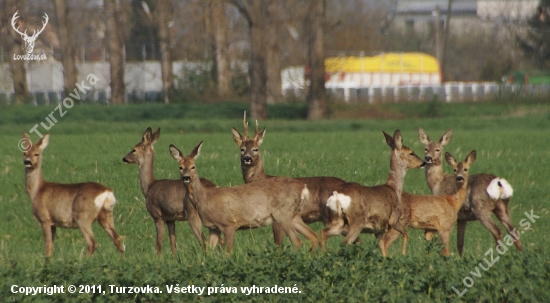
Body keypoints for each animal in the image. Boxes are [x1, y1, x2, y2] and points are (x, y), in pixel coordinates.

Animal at [123, 127, 218, 255]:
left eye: (134, 149)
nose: (124, 158)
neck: (149, 186)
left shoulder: (157, 215)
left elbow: (159, 244)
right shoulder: (170, 219)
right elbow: (173, 244)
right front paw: (174, 257)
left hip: (193, 213)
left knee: (204, 241)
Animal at [170, 141, 322, 255]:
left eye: (193, 166)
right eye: (180, 167)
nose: (186, 177)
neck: (205, 199)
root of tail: (302, 188)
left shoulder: (228, 224)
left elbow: (228, 253)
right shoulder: (213, 228)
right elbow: (209, 253)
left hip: (283, 214)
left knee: (298, 242)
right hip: (294, 214)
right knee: (313, 236)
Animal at [234, 113, 348, 246]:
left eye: (256, 149)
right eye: (241, 149)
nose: (247, 158)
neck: (263, 179)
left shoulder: (276, 220)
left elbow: (278, 243)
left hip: (332, 215)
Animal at [420, 128, 524, 256]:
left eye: (437, 149)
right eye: (425, 148)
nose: (428, 158)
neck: (438, 183)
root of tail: (498, 183)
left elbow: (442, 243)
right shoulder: (461, 219)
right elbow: (460, 243)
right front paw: (459, 258)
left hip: (481, 208)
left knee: (497, 231)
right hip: (502, 207)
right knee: (513, 231)